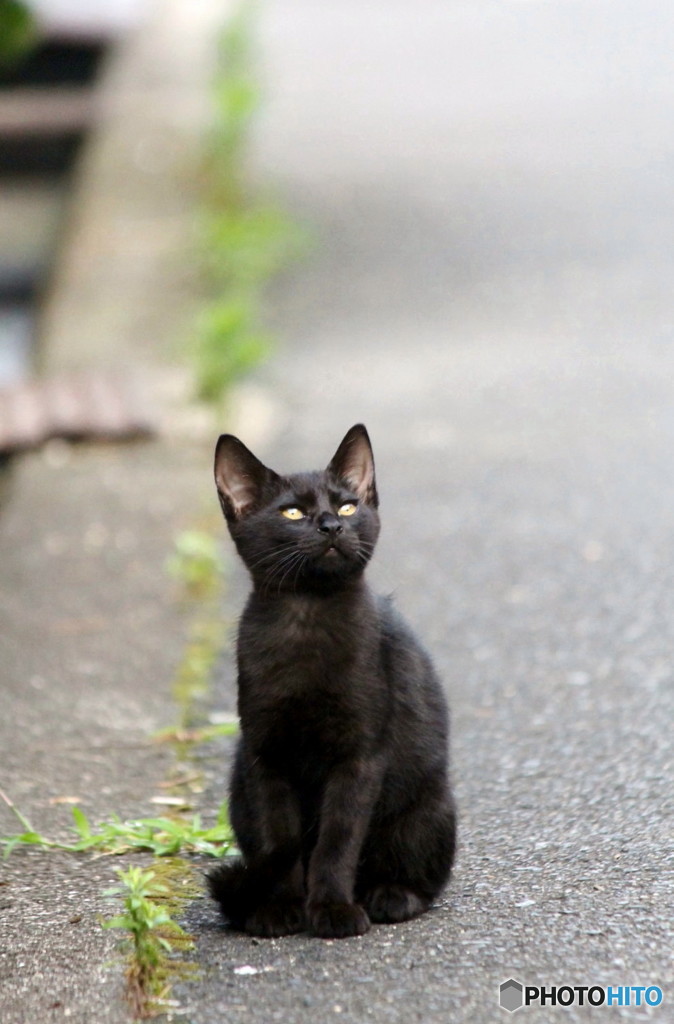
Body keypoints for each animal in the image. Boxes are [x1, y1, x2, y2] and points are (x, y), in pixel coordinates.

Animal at [206, 421, 454, 937]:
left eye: (347, 506)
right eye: (293, 512)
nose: (331, 526)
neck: (307, 616)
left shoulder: (360, 756)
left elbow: (337, 840)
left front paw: (333, 910)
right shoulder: (265, 756)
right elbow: (280, 839)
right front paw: (281, 908)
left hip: (427, 804)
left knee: (420, 873)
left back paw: (390, 895)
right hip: (238, 789)